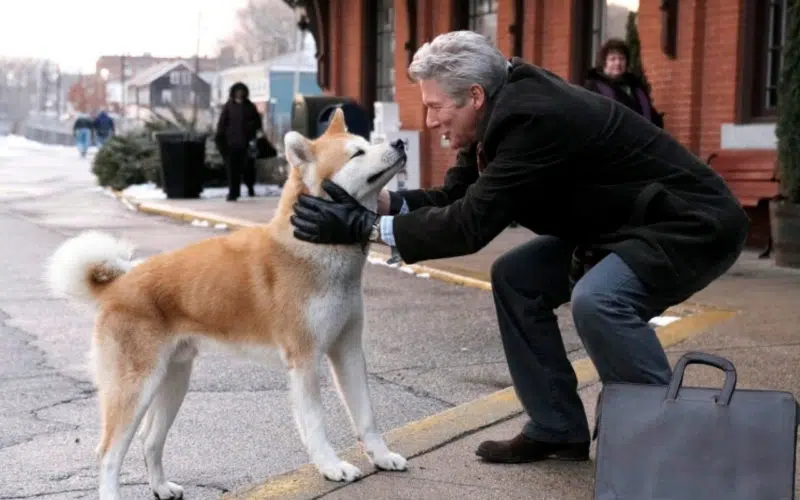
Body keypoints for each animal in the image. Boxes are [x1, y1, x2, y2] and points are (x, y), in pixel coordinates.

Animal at [45, 109, 406, 500]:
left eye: (369, 143)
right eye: (357, 153)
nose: (401, 142)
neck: (314, 247)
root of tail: (118, 285)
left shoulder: (348, 350)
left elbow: (367, 416)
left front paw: (382, 456)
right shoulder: (305, 360)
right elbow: (316, 424)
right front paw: (331, 466)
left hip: (174, 381)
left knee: (150, 441)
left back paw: (161, 487)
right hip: (135, 388)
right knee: (109, 453)